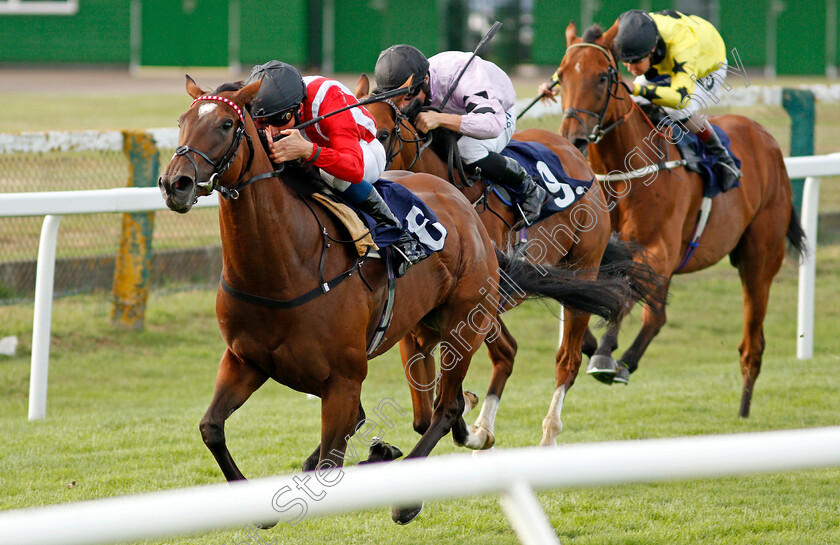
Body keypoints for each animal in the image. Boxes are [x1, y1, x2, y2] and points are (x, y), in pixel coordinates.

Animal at [352, 74, 660, 444]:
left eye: (383, 134)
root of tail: (573, 150)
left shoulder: (480, 299)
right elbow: (433, 401)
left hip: (585, 264)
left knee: (566, 361)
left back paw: (547, 432)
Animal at [556, 19, 804, 414]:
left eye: (602, 76)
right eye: (561, 75)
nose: (574, 138)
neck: (623, 174)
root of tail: (767, 139)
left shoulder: (658, 249)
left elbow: (625, 294)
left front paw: (604, 354)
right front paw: (594, 344)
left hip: (759, 259)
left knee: (752, 341)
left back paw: (743, 408)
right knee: (658, 314)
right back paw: (626, 361)